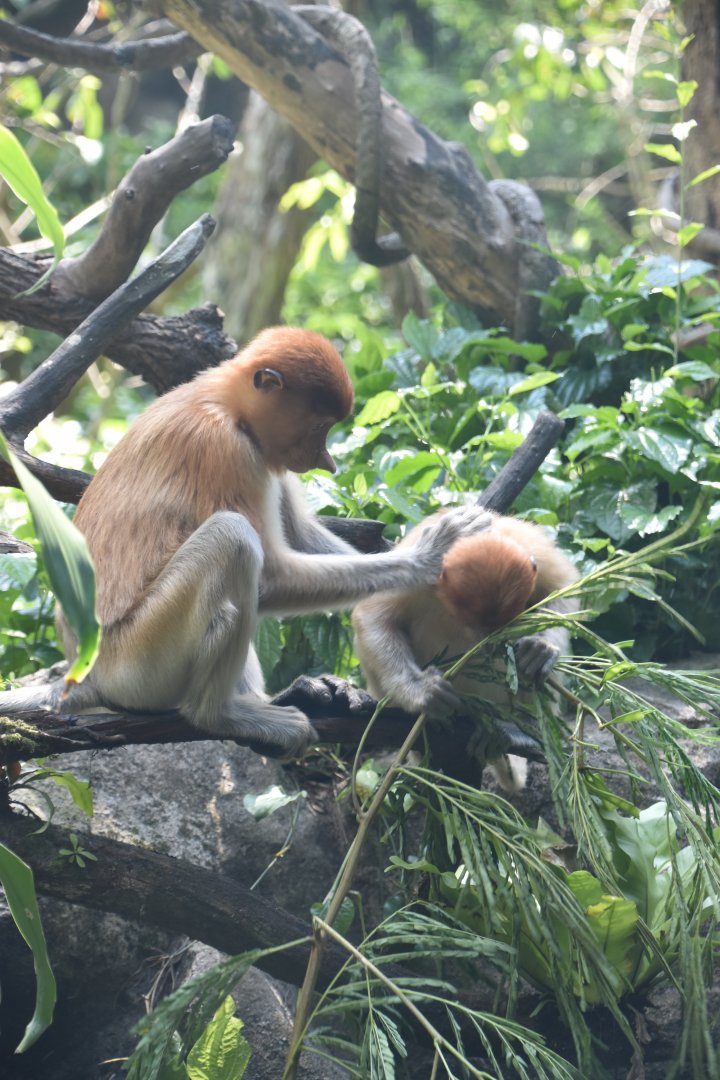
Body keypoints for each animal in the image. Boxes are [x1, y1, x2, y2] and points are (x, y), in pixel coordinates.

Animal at [0, 328, 493, 757]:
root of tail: (86, 674)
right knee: (233, 539)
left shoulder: (265, 454)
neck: (222, 399)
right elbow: (271, 574)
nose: (328, 463)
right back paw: (222, 715)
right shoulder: (225, 449)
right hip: (138, 664)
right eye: (320, 425)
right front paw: (431, 554)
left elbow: (298, 532)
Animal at [352, 511, 579, 787]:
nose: (490, 644)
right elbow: (373, 616)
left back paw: (520, 728)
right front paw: (425, 692)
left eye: (504, 626)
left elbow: (562, 584)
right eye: (471, 625)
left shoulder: (531, 546)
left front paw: (540, 648)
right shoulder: (419, 570)